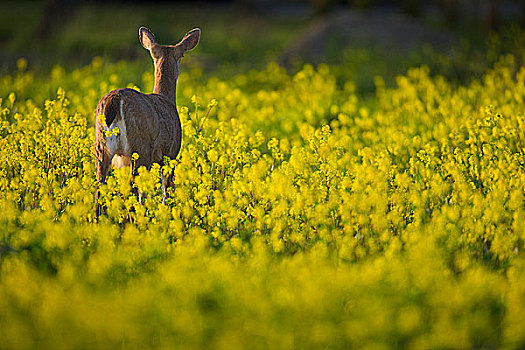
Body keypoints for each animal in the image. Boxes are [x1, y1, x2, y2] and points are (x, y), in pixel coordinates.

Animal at [94, 26, 201, 216]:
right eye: (182, 55)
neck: (166, 98)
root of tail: (114, 99)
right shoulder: (170, 153)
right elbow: (167, 189)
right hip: (140, 148)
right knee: (134, 189)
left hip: (101, 147)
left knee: (99, 190)